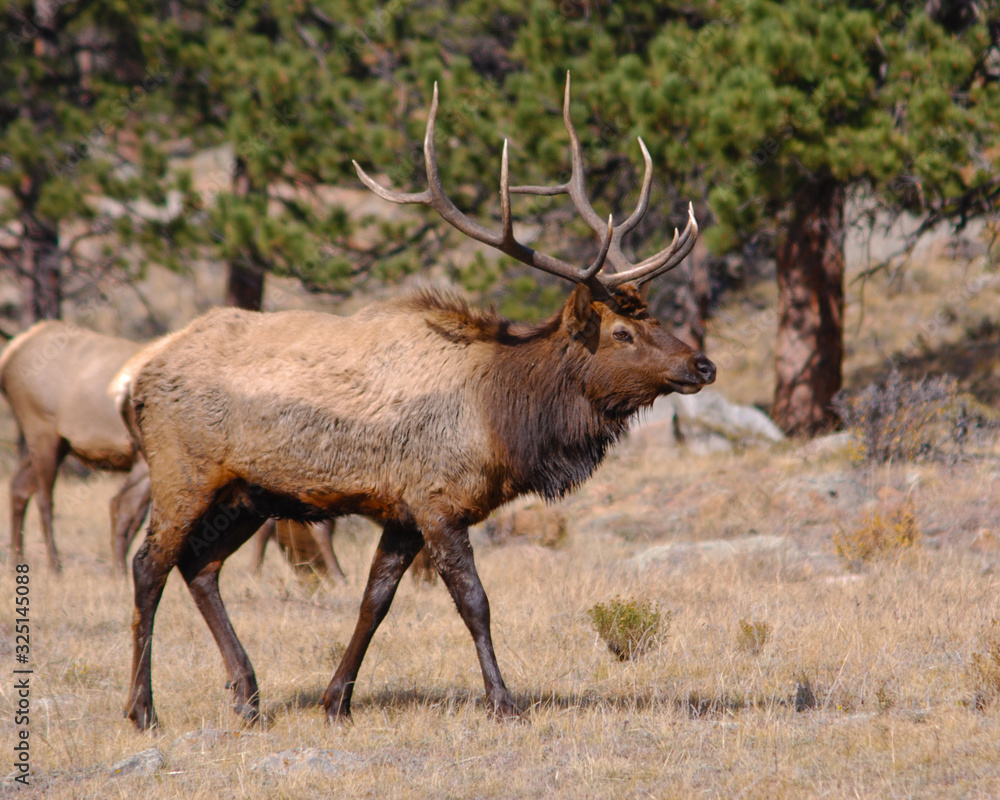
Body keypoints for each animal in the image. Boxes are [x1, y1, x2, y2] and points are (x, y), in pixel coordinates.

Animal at [0, 321, 153, 573]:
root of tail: (11, 351)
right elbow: (126, 511)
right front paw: (120, 571)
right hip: (41, 431)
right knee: (44, 499)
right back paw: (55, 567)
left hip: (58, 443)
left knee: (19, 486)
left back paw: (17, 560)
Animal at [122, 75, 717, 731]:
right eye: (622, 333)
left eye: (656, 318)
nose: (703, 364)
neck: (503, 418)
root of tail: (138, 378)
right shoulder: (436, 500)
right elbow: (475, 602)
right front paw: (504, 701)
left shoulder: (400, 511)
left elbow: (374, 601)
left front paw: (337, 700)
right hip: (183, 471)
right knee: (149, 566)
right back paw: (143, 708)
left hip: (247, 493)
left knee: (200, 567)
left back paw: (248, 695)